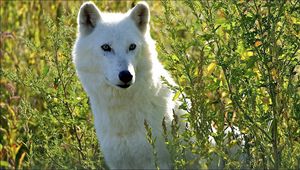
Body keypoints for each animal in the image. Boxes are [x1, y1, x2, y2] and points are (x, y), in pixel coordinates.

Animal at [73, 0, 246, 169]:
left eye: (132, 46)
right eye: (106, 47)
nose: (126, 76)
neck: (122, 113)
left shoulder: (157, 161)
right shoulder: (119, 163)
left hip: (233, 135)